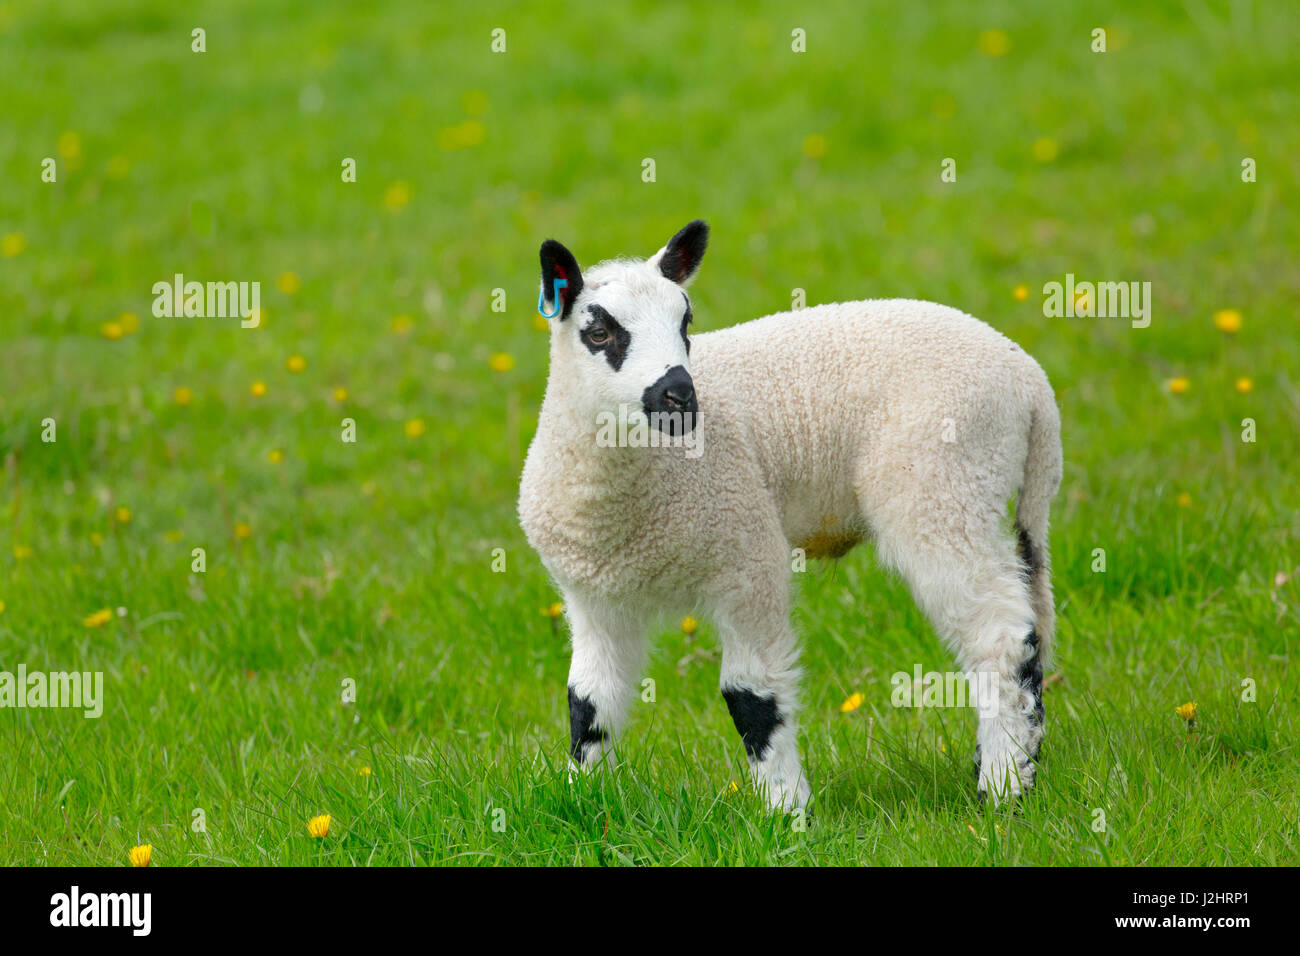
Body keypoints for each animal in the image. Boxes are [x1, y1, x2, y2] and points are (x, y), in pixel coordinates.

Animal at [512, 221, 1060, 811]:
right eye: (598, 333)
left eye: (686, 321)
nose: (680, 395)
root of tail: (1030, 383)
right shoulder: (595, 599)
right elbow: (588, 701)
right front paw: (584, 798)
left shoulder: (747, 559)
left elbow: (750, 696)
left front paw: (787, 810)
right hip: (974, 492)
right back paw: (1010, 767)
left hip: (944, 490)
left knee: (1001, 637)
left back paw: (1002, 786)